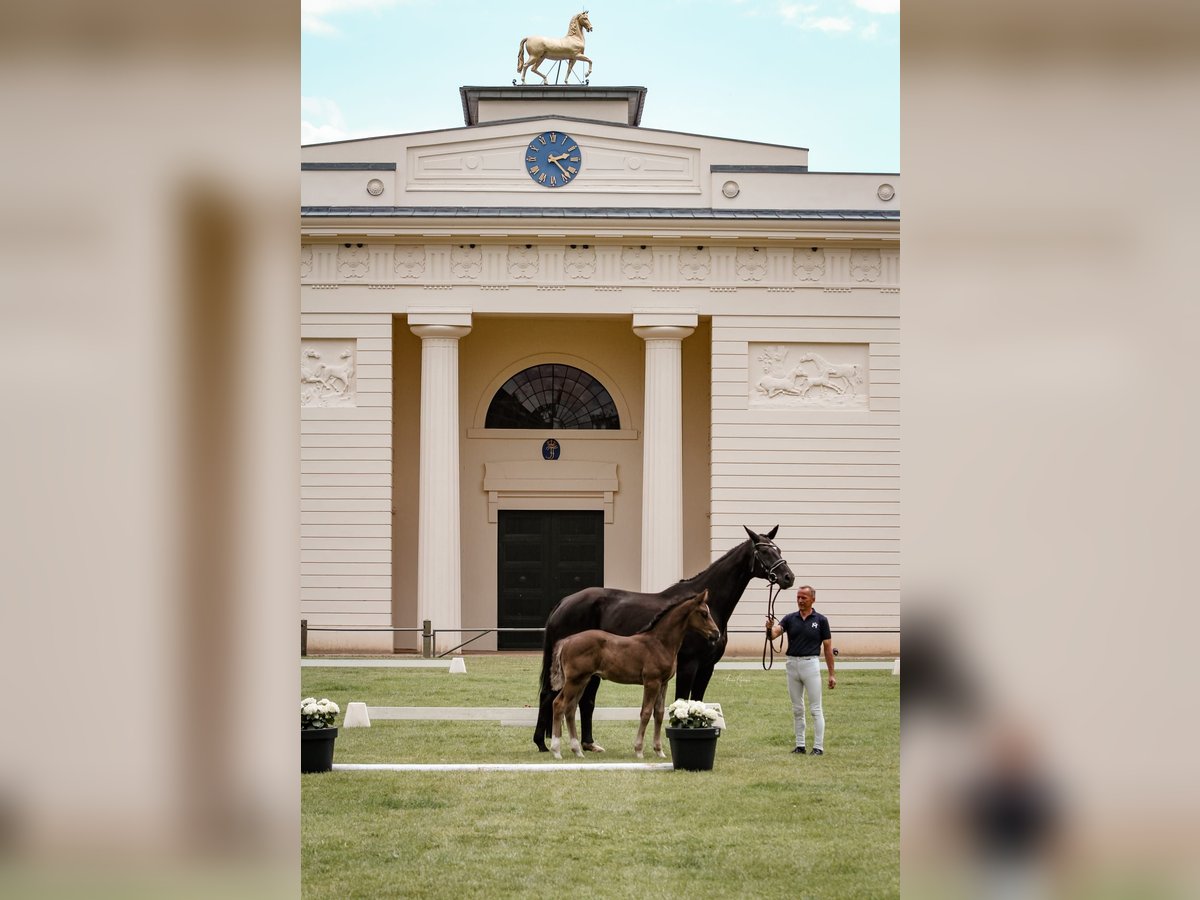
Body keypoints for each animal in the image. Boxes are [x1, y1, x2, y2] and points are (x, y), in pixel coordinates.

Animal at [549, 592, 715, 763]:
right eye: (704, 613)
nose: (716, 634)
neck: (660, 643)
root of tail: (567, 641)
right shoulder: (651, 682)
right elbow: (646, 712)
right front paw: (639, 750)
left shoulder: (663, 683)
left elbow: (659, 713)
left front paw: (659, 751)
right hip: (574, 681)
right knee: (559, 704)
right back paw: (556, 751)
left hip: (583, 681)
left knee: (570, 709)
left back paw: (577, 751)